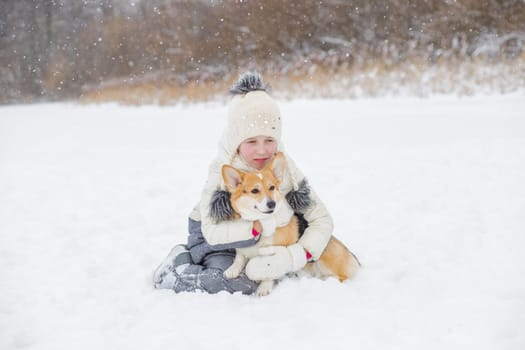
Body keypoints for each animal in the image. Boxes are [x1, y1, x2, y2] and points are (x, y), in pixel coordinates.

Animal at [219, 152, 358, 296]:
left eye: (272, 187)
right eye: (254, 191)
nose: (272, 204)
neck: (264, 223)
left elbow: (269, 272)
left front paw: (264, 288)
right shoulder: (243, 249)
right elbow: (239, 258)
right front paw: (232, 270)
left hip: (326, 260)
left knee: (341, 277)